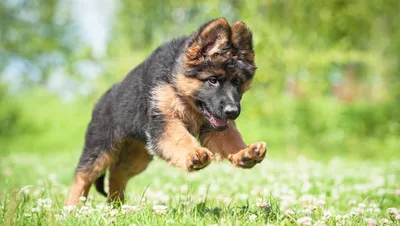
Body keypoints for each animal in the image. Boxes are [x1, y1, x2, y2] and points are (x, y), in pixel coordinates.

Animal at [65, 17, 266, 205]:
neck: (178, 85)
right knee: (83, 175)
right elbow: (181, 138)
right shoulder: (165, 121)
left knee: (117, 173)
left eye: (237, 83)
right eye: (213, 80)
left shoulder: (213, 126)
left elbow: (230, 139)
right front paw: (194, 154)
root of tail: (101, 101)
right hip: (101, 149)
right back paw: (72, 208)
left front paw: (245, 152)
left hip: (138, 154)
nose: (232, 112)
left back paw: (117, 207)